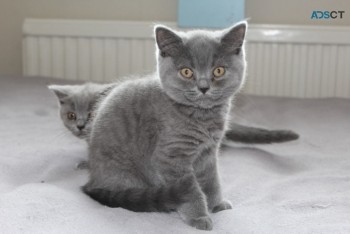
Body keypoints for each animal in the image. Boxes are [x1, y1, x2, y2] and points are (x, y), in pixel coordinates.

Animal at [81, 22, 247, 230]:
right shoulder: (170, 157)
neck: (203, 118)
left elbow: (211, 180)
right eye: (186, 72)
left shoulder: (208, 152)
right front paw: (199, 216)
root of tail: (93, 180)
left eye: (218, 71)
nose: (203, 87)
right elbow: (192, 190)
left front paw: (217, 204)